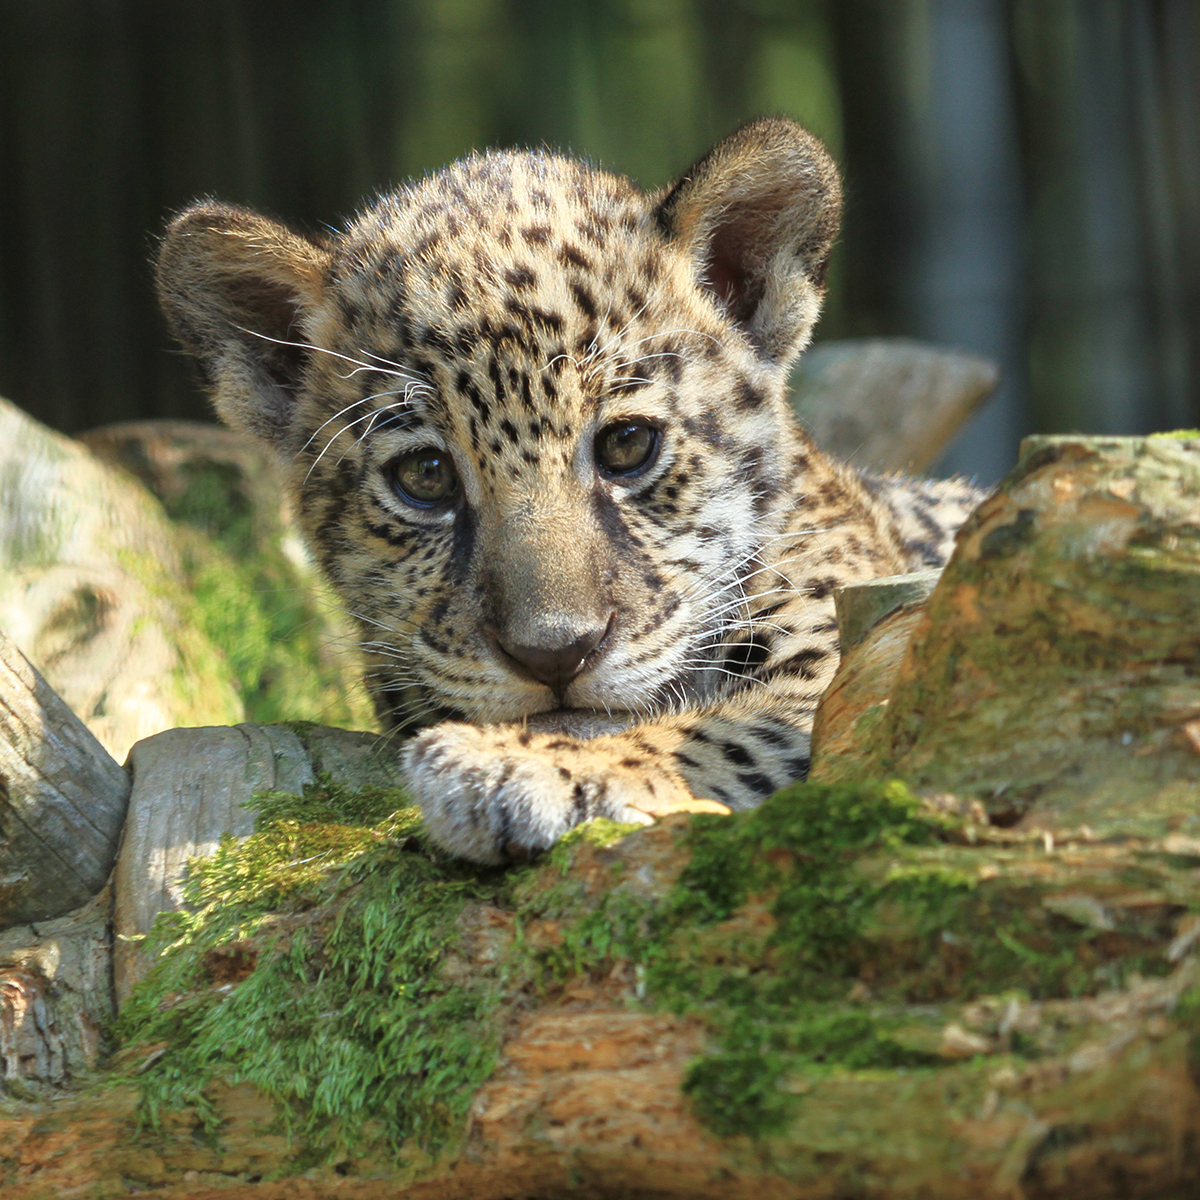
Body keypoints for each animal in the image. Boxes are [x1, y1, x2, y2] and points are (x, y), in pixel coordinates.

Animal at [155, 118, 982, 865]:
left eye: (627, 446)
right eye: (425, 477)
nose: (555, 654)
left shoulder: (862, 648)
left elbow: (725, 728)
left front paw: (511, 769)